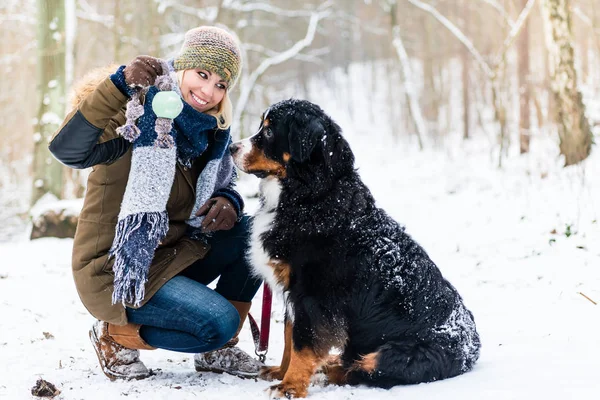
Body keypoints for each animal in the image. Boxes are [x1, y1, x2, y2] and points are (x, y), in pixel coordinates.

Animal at [227, 99, 480, 396]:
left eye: (268, 132)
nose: (231, 147)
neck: (310, 196)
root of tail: (472, 349)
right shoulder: (294, 291)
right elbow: (290, 335)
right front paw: (280, 371)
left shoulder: (313, 296)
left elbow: (303, 343)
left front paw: (290, 386)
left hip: (396, 354)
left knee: (363, 371)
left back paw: (331, 368)